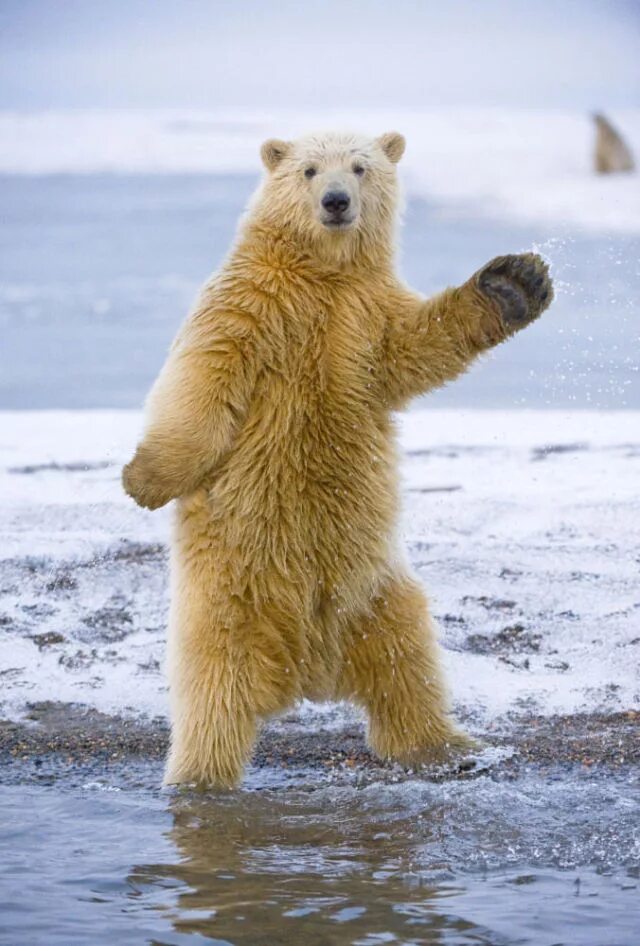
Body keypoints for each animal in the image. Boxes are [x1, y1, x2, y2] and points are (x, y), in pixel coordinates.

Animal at [122, 129, 552, 784]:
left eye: (359, 167)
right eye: (307, 170)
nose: (335, 201)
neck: (321, 274)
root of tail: (309, 671)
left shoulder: (367, 316)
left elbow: (416, 346)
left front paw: (514, 283)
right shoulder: (251, 302)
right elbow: (205, 378)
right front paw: (143, 479)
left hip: (373, 590)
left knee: (409, 658)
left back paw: (449, 748)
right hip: (232, 587)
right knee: (213, 682)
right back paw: (200, 775)